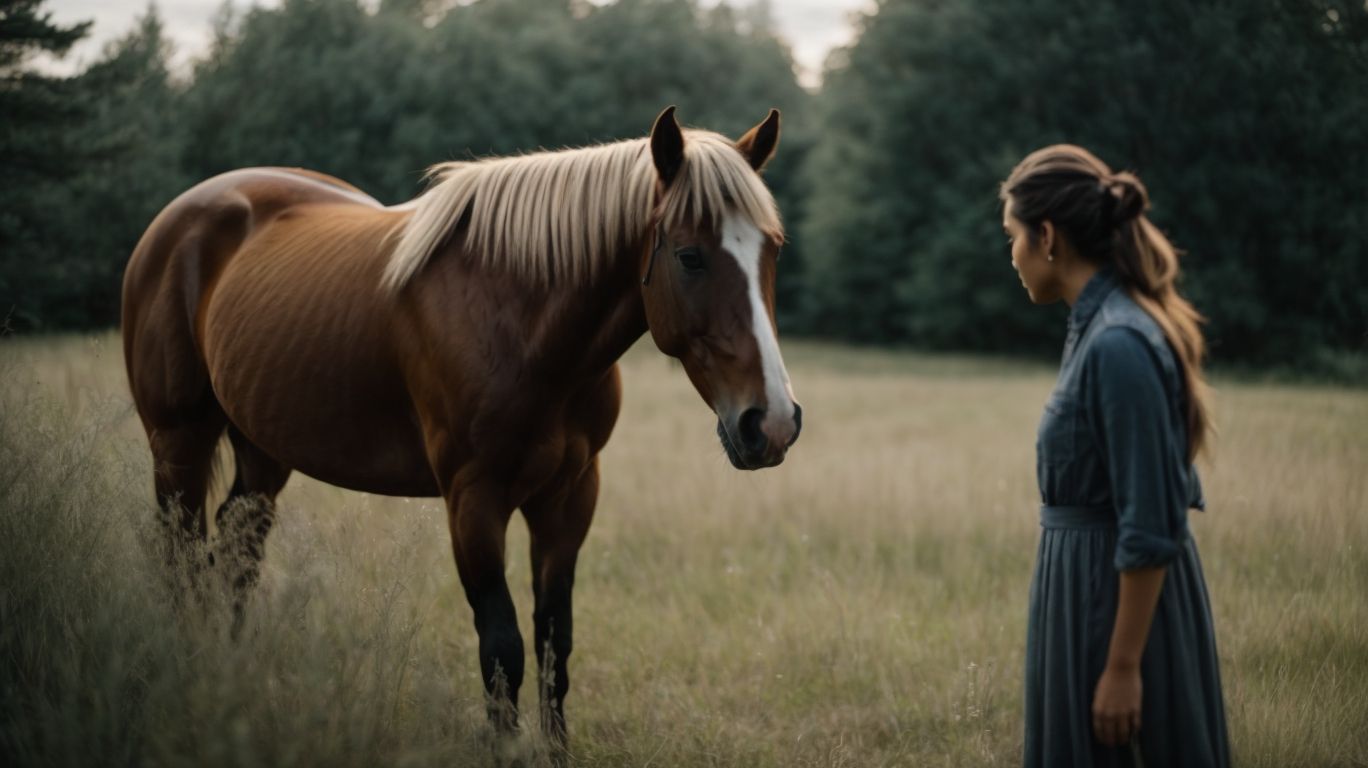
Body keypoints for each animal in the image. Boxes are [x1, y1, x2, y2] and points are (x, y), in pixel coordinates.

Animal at [120, 106, 802, 748]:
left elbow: (555, 646)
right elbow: (502, 649)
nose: (771, 424)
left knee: (235, 557)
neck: (521, 321)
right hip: (177, 444)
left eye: (773, 248)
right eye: (689, 256)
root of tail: (173, 221)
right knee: (180, 560)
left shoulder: (570, 495)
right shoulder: (474, 499)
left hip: (262, 450)